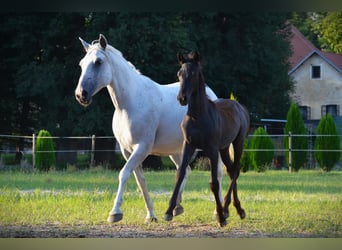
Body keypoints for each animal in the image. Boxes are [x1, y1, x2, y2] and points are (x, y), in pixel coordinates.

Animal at [75, 33, 224, 223]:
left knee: (217, 173)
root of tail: (210, 95)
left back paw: (217, 212)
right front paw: (151, 215)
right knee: (184, 171)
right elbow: (141, 181)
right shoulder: (127, 151)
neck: (129, 103)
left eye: (98, 62)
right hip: (176, 150)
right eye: (81, 64)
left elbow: (124, 174)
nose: (81, 95)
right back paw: (176, 207)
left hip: (211, 147)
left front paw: (115, 212)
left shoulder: (142, 148)